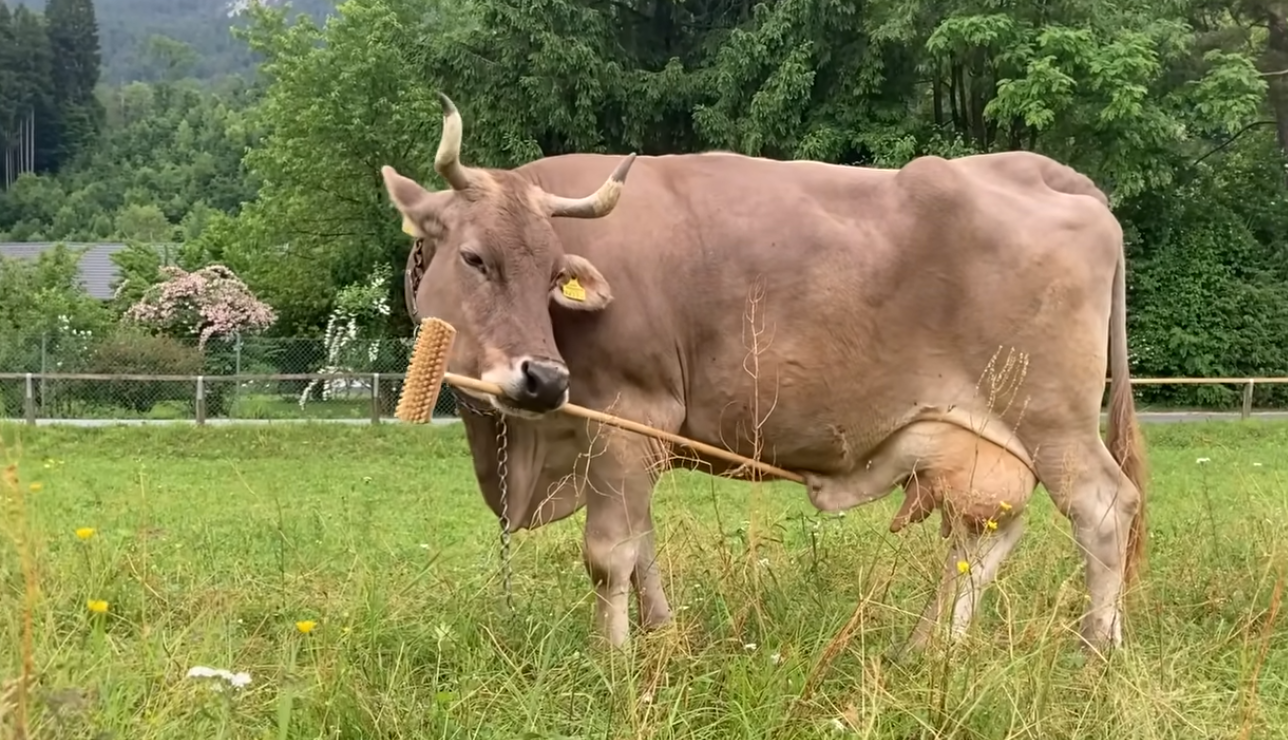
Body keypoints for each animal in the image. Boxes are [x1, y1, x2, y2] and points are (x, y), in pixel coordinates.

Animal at [384, 93, 1148, 654]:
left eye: (551, 273)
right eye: (476, 258)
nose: (543, 379)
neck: (526, 454)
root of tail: (1043, 171)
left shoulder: (630, 417)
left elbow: (611, 553)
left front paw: (614, 661)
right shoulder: (621, 440)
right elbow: (644, 546)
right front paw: (663, 636)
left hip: (1053, 420)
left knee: (1104, 509)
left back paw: (1094, 649)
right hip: (988, 439)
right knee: (985, 534)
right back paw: (930, 646)